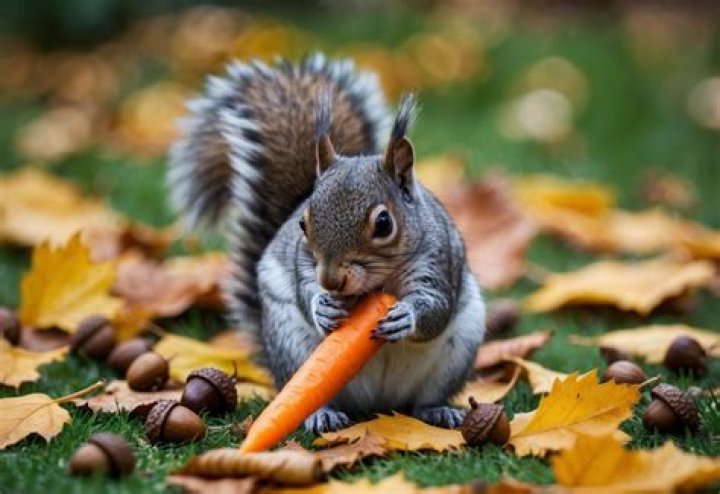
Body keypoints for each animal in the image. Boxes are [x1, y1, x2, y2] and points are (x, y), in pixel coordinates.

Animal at [167, 53, 485, 433]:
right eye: (302, 223)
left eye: (384, 224)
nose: (331, 282)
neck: (377, 283)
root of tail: (379, 405)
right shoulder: (303, 263)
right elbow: (304, 288)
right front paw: (322, 305)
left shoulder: (437, 259)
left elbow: (437, 307)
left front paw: (405, 315)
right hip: (291, 347)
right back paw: (323, 413)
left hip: (459, 349)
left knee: (425, 399)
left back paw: (438, 411)